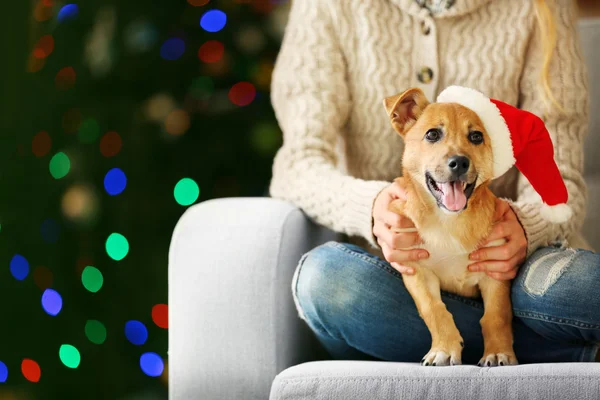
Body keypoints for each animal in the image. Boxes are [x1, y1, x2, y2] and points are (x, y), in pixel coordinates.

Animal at [386, 88, 516, 368]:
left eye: (476, 136)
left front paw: (498, 352)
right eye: (432, 134)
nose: (459, 162)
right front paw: (444, 349)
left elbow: (497, 315)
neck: (449, 221)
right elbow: (433, 309)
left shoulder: (495, 272)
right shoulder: (417, 271)